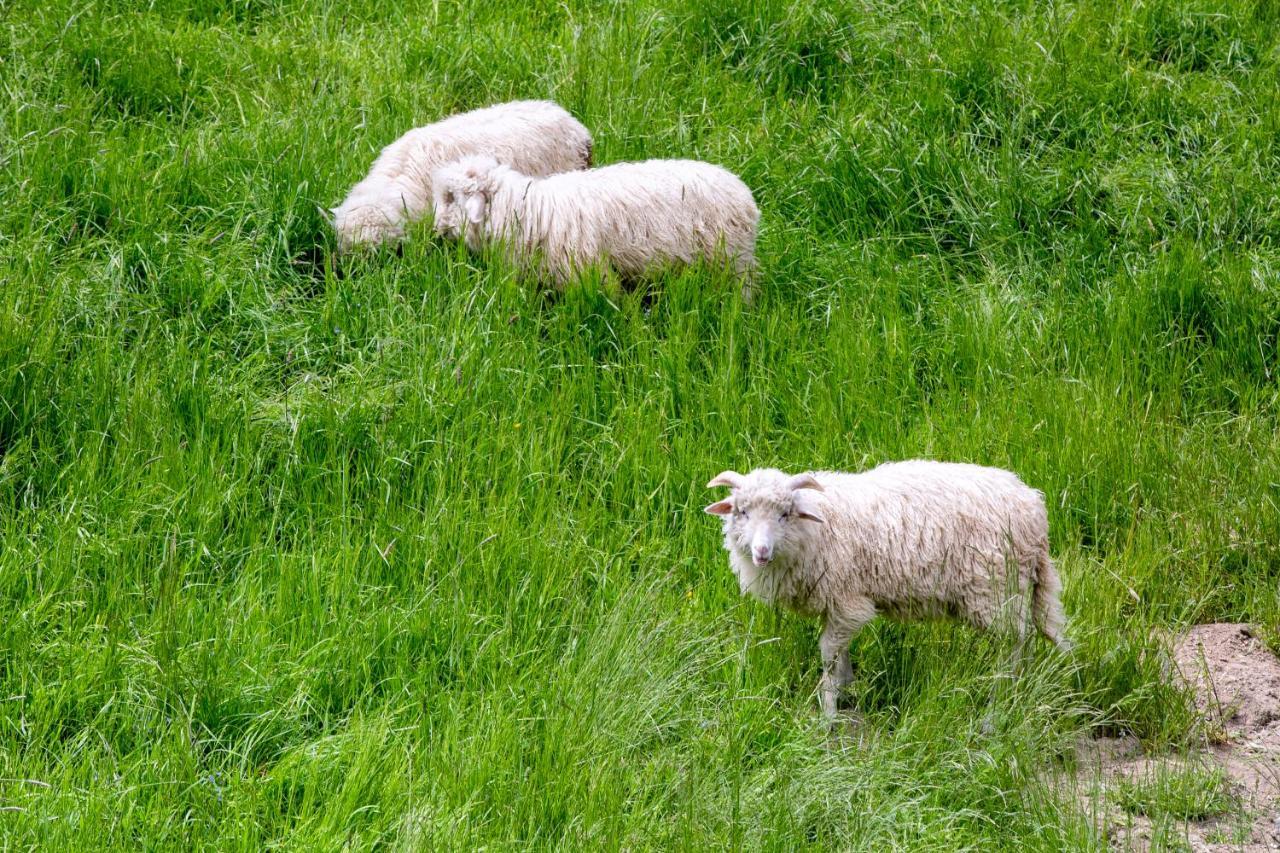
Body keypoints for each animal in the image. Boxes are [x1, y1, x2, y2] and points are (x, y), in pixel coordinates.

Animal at [430, 154, 757, 294]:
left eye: (450, 198)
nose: (435, 230)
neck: (528, 211)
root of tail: (745, 195)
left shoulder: (591, 272)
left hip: (732, 262)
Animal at [701, 458, 1070, 717]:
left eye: (785, 514)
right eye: (742, 512)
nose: (761, 552)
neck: (817, 527)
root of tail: (1035, 511)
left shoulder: (849, 600)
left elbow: (828, 653)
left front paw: (828, 712)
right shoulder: (836, 604)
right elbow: (840, 653)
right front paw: (847, 691)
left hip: (994, 589)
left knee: (1015, 642)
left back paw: (996, 709)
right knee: (1026, 640)